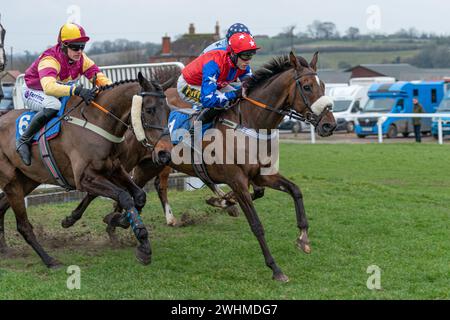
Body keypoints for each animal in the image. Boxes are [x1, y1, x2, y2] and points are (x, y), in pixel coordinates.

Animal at [0, 72, 172, 268]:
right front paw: (141, 242)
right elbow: (124, 196)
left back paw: (4, 248)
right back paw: (49, 260)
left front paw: (120, 221)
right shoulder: (84, 179)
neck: (98, 121)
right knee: (23, 225)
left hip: (28, 179)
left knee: (2, 205)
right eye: (150, 110)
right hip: (12, 183)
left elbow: (140, 196)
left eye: (168, 111)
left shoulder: (114, 169)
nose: (164, 153)